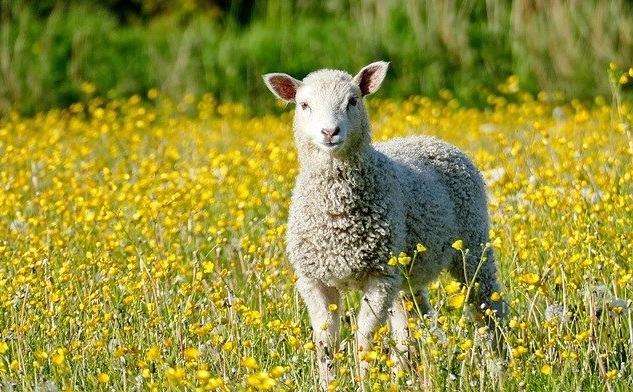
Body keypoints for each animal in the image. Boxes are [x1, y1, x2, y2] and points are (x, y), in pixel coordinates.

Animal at [264, 62, 506, 388]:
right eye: (304, 105)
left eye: (353, 101)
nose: (329, 132)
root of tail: (431, 139)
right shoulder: (314, 279)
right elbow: (325, 342)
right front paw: (329, 383)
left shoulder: (379, 277)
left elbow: (364, 340)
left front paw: (364, 381)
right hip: (406, 272)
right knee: (413, 323)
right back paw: (414, 376)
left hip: (472, 243)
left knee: (489, 306)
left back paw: (501, 369)